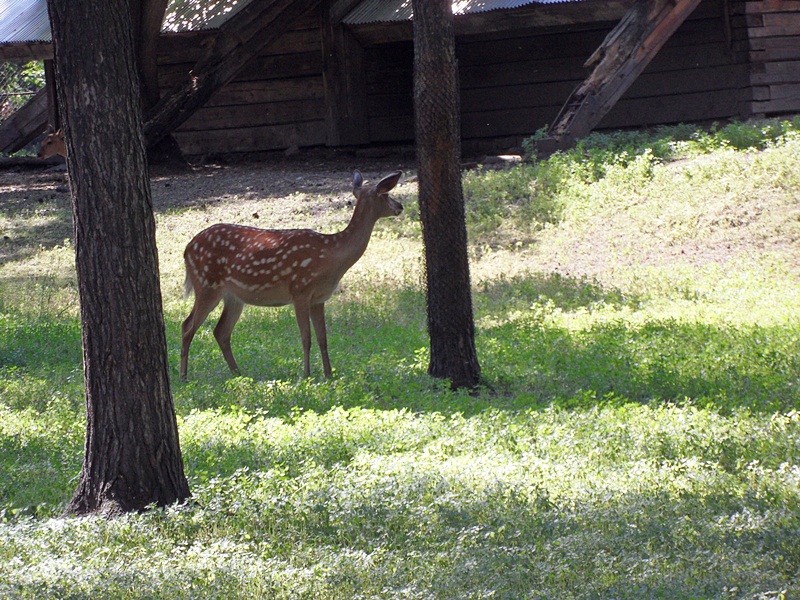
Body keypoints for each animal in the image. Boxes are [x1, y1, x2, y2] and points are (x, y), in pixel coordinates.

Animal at [183, 169, 406, 382]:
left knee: (220, 331)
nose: (400, 206)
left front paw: (328, 374)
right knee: (188, 326)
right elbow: (306, 337)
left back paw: (239, 374)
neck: (330, 256)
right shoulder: (300, 290)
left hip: (234, 297)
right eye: (386, 194)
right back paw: (184, 377)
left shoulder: (319, 298)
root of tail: (187, 250)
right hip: (206, 284)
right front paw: (306, 375)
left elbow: (323, 338)